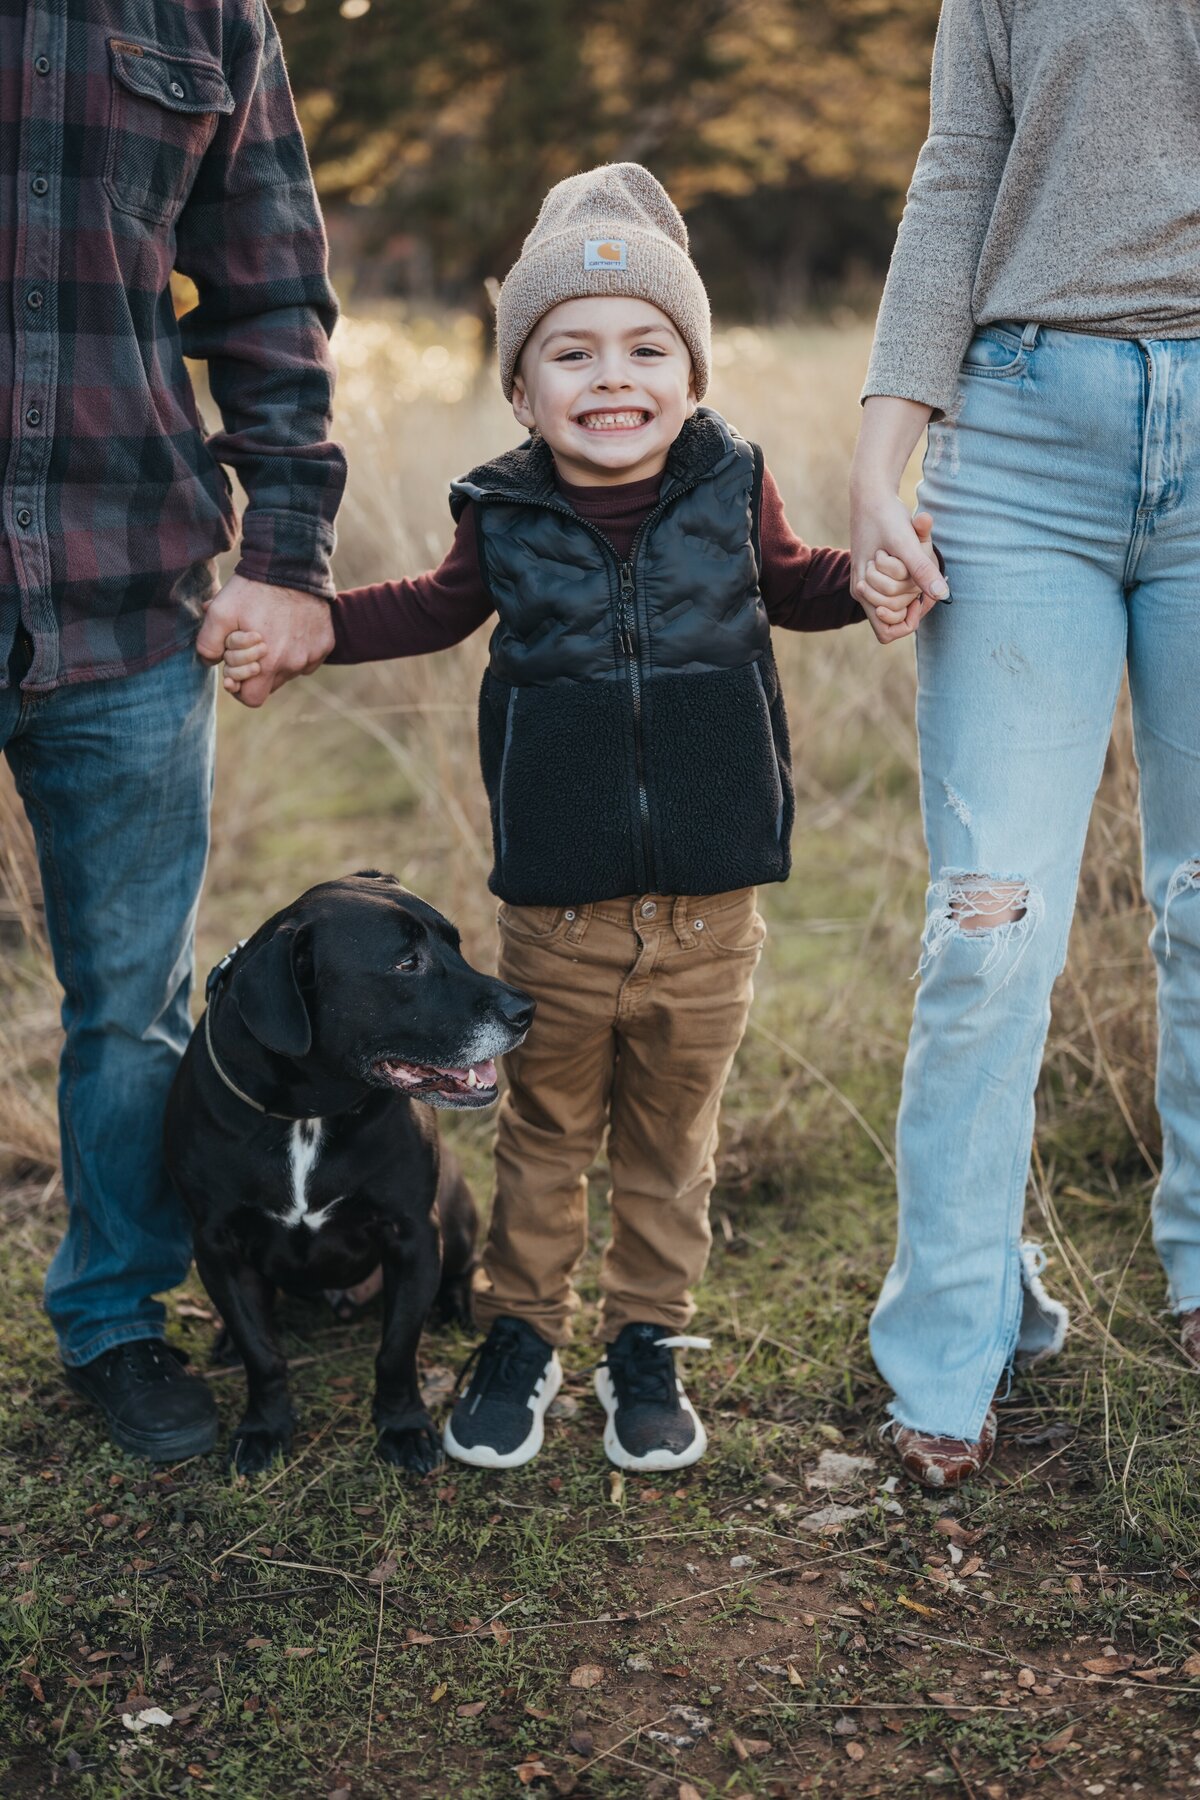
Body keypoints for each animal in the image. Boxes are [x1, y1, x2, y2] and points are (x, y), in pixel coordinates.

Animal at [162, 871, 528, 1476]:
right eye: (407, 963)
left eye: (454, 944)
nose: (526, 1008)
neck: (307, 1114)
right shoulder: (216, 1244)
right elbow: (262, 1352)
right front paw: (264, 1427)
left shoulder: (413, 1234)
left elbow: (397, 1348)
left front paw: (403, 1427)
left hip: (455, 1213)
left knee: (461, 1268)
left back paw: (456, 1307)